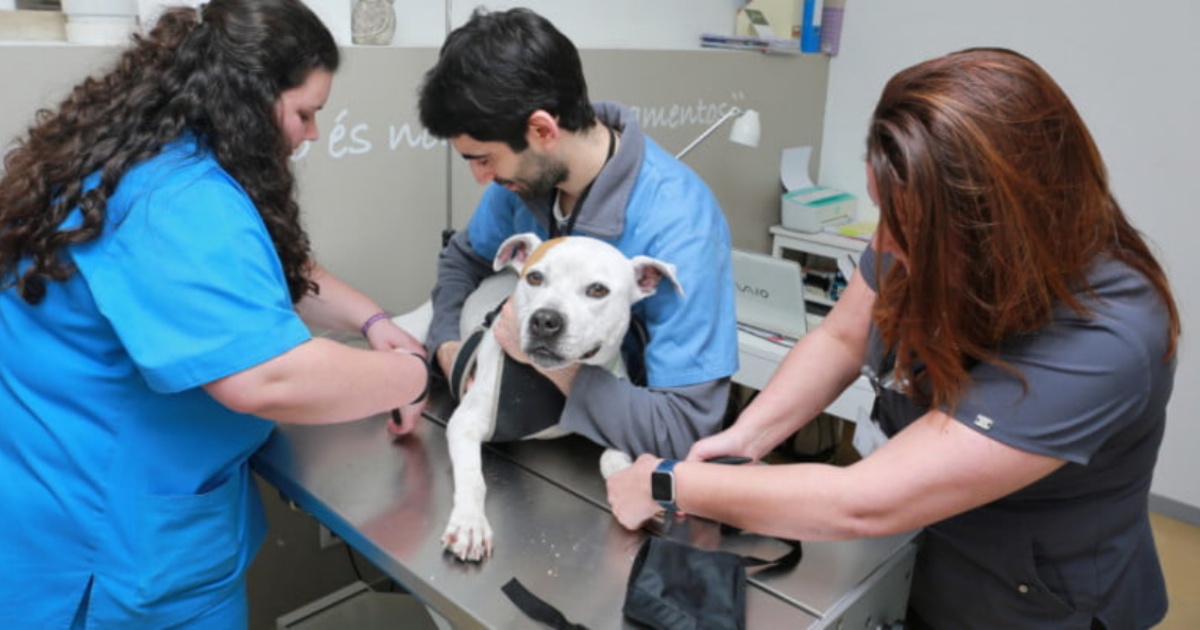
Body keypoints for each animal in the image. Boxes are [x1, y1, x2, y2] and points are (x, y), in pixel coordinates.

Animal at [444, 230, 686, 559]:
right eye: (535, 277)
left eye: (598, 290)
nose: (545, 320)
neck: (548, 378)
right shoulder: (466, 421)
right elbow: (472, 476)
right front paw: (470, 523)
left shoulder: (619, 418)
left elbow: (614, 457)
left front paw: (631, 482)